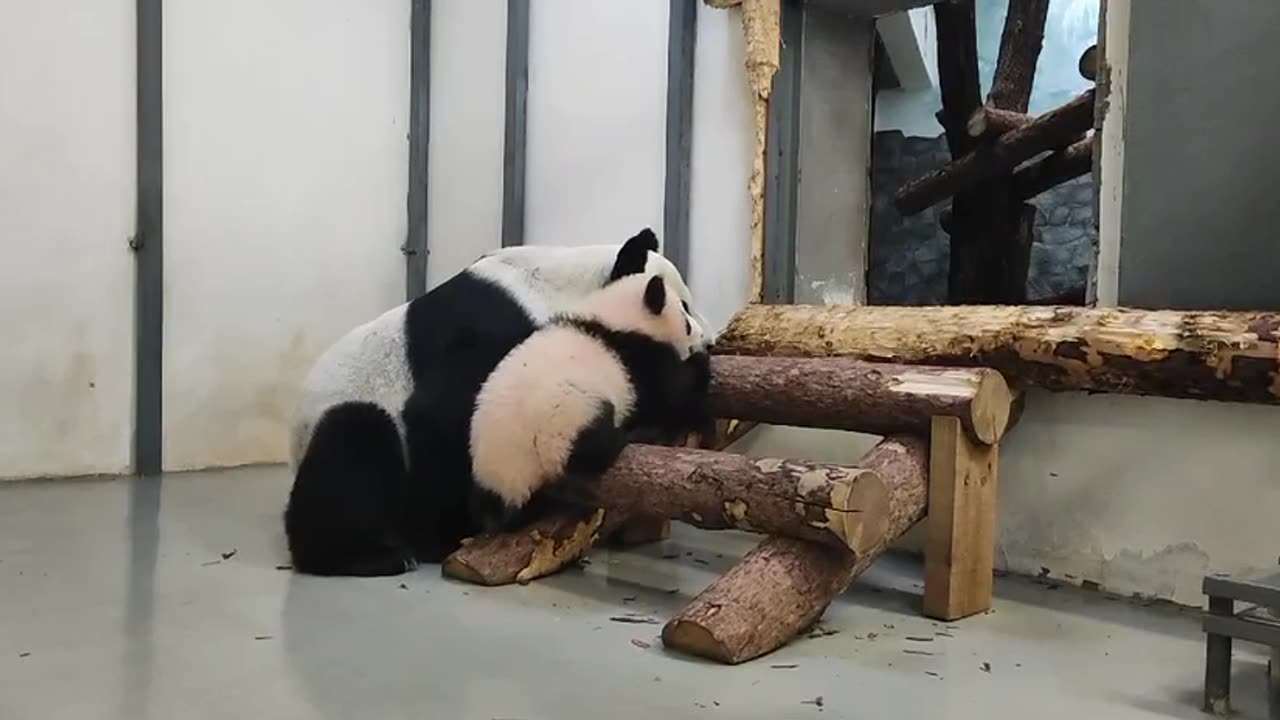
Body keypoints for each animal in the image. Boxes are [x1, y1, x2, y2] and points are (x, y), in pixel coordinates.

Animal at [284, 226, 716, 573]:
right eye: (686, 309)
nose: (708, 340)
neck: (557, 285)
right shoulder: (491, 331)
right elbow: (444, 417)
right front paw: (440, 535)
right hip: (349, 407)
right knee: (354, 453)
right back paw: (363, 556)